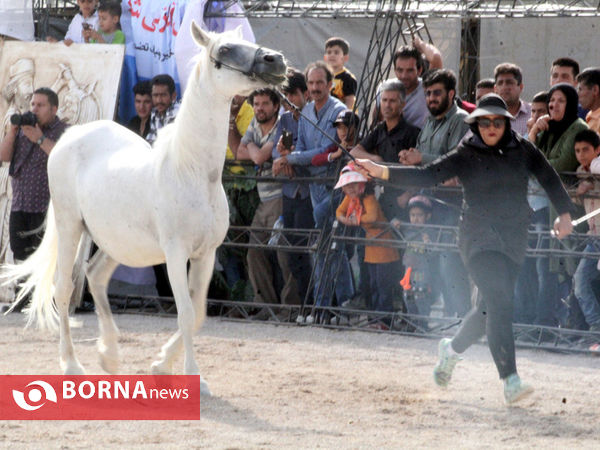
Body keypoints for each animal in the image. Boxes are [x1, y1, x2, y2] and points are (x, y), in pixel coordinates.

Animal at [2, 22, 288, 394]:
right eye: (224, 50)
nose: (276, 60)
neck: (191, 172)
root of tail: (69, 138)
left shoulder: (206, 254)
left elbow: (197, 312)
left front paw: (160, 365)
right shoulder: (176, 253)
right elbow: (185, 312)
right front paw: (192, 377)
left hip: (117, 242)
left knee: (95, 276)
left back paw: (109, 356)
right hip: (70, 228)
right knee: (63, 288)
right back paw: (72, 365)